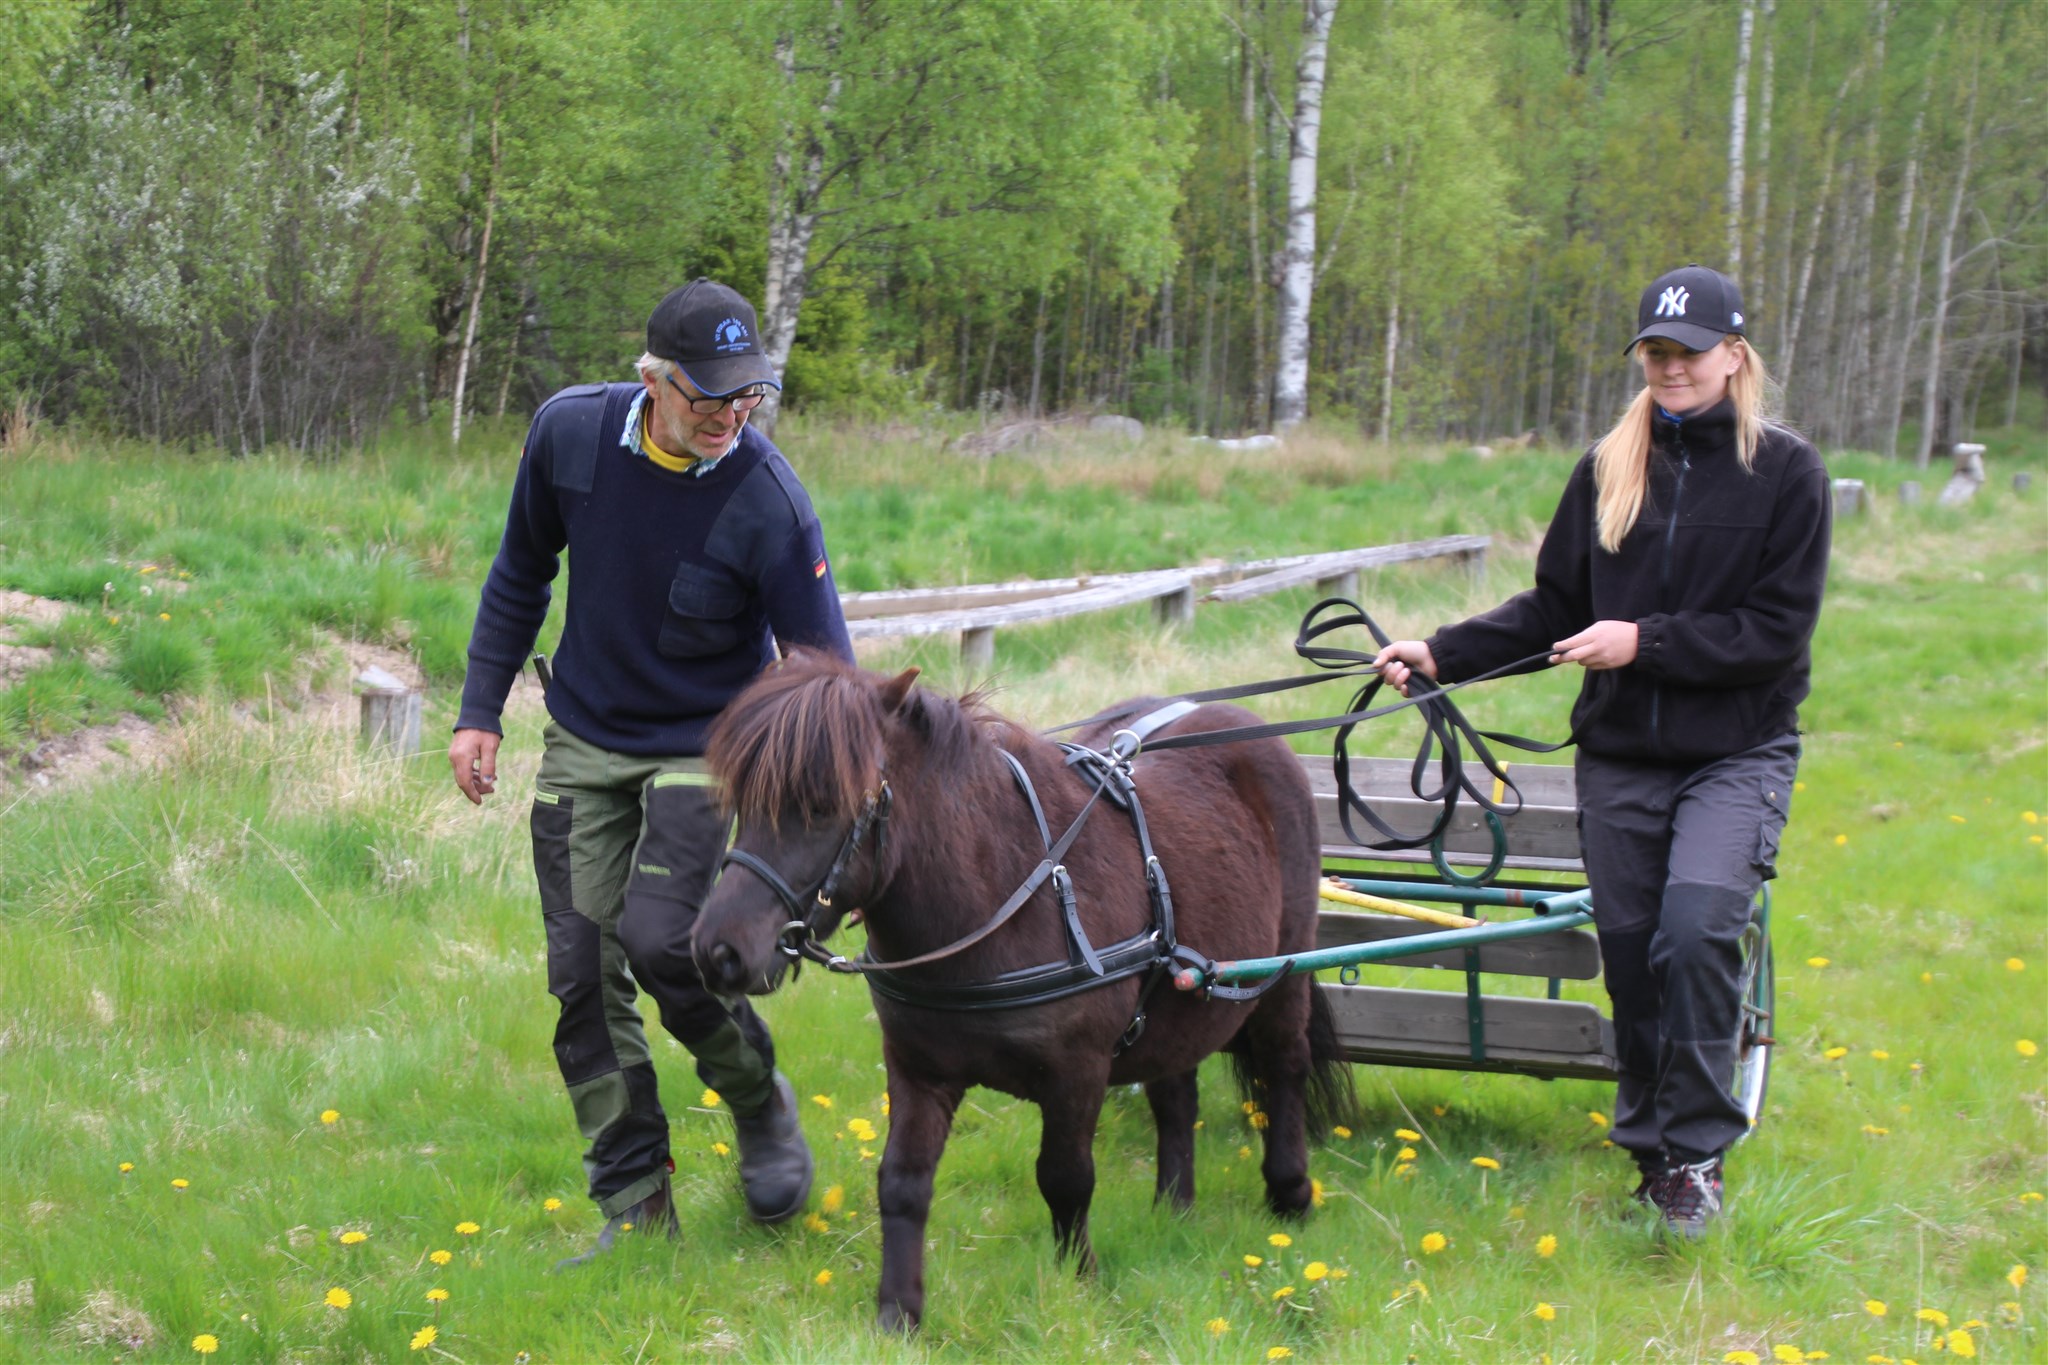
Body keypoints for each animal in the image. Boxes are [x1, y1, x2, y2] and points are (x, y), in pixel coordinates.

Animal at [696, 654, 1351, 1334]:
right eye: (743, 801)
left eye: (823, 806)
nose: (720, 951)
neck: (999, 897)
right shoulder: (917, 1067)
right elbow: (901, 1181)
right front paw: (898, 1313)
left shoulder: (1077, 1070)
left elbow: (1065, 1179)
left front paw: (1079, 1279)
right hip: (1175, 1001)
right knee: (1175, 1092)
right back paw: (1174, 1207)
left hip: (1285, 970)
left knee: (1285, 1063)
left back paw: (1290, 1192)